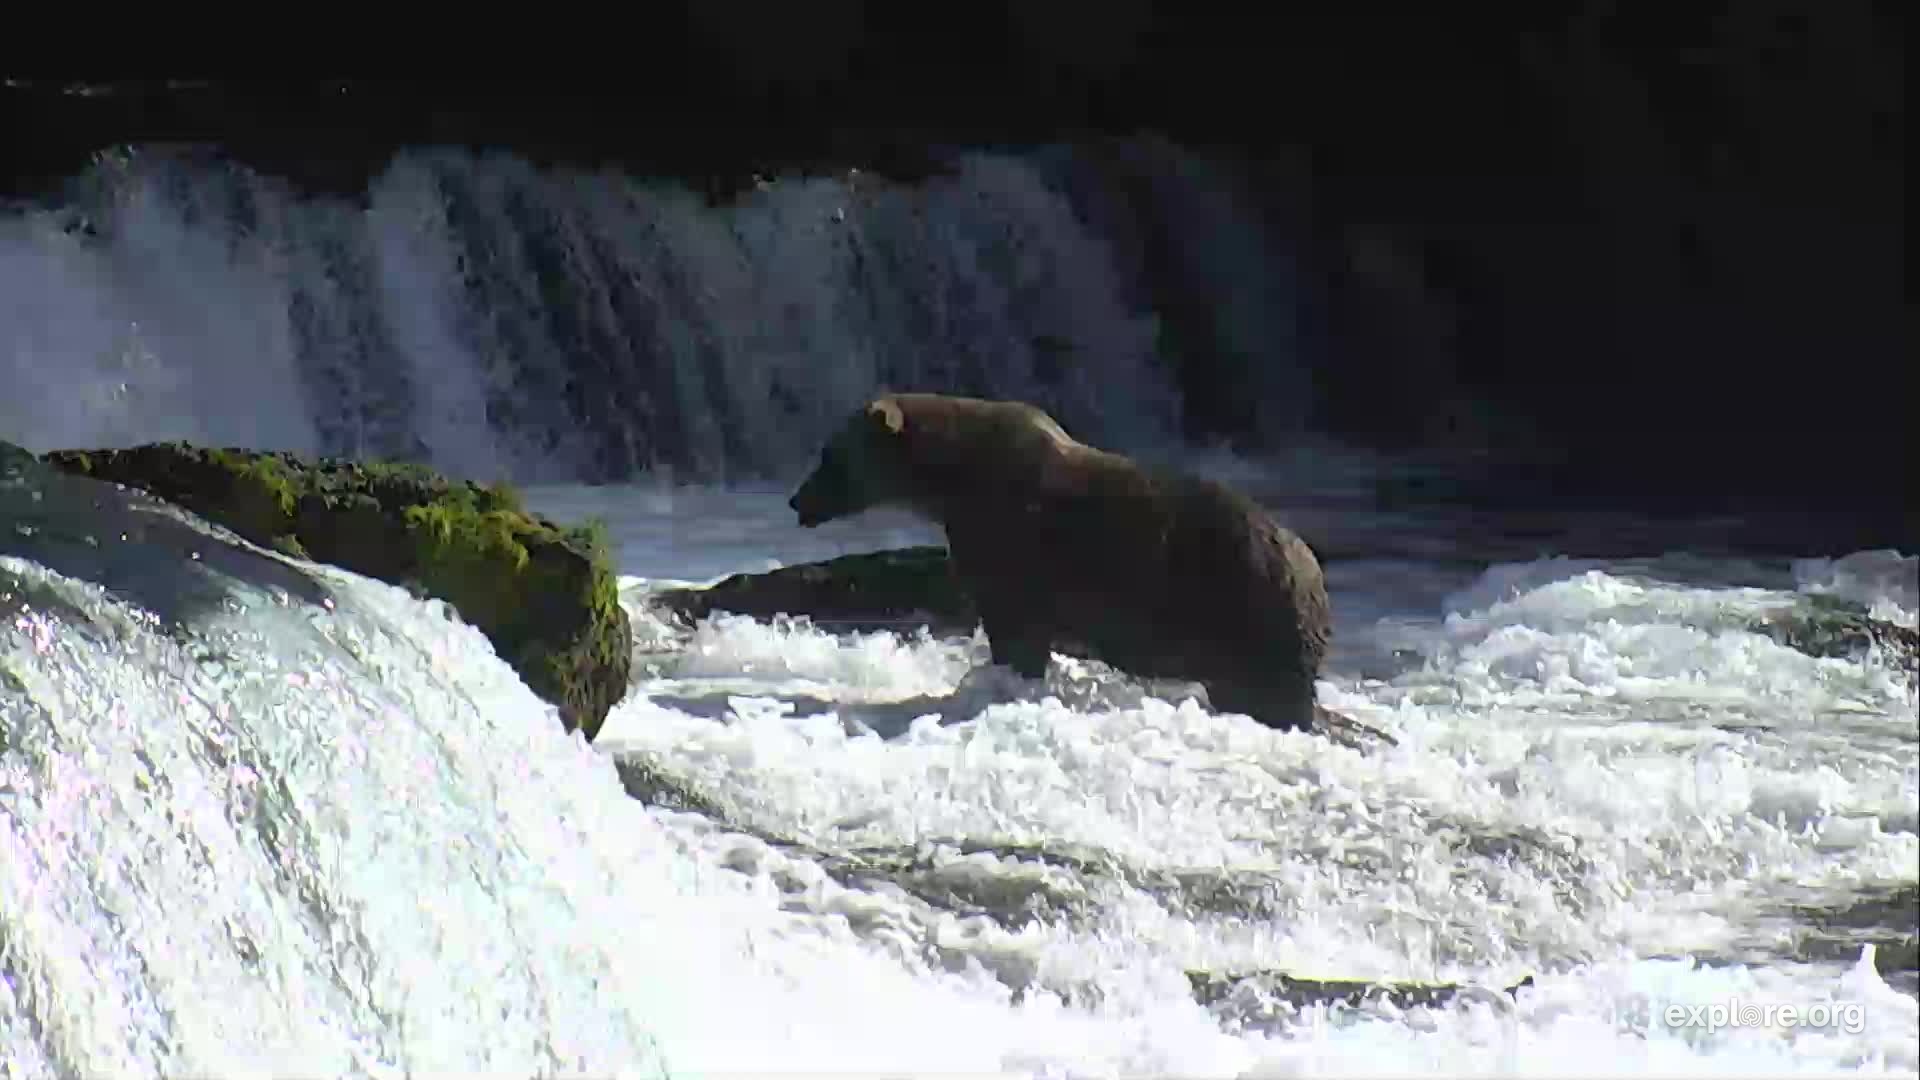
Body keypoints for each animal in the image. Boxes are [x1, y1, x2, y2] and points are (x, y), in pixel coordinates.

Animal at [790, 393, 1381, 745]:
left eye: (829, 457)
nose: (799, 501)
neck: (951, 483)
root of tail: (1314, 572)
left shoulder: (1009, 542)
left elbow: (1015, 630)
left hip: (1250, 607)